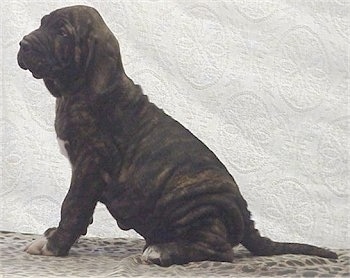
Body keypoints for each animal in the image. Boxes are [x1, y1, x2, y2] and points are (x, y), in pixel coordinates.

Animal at [17, 4, 338, 264]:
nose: (22, 43)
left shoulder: (90, 164)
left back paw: (162, 251)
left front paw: (54, 245)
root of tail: (245, 218)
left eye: (62, 33)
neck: (76, 89)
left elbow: (72, 206)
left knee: (221, 251)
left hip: (196, 207)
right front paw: (55, 235)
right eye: (43, 23)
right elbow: (80, 209)